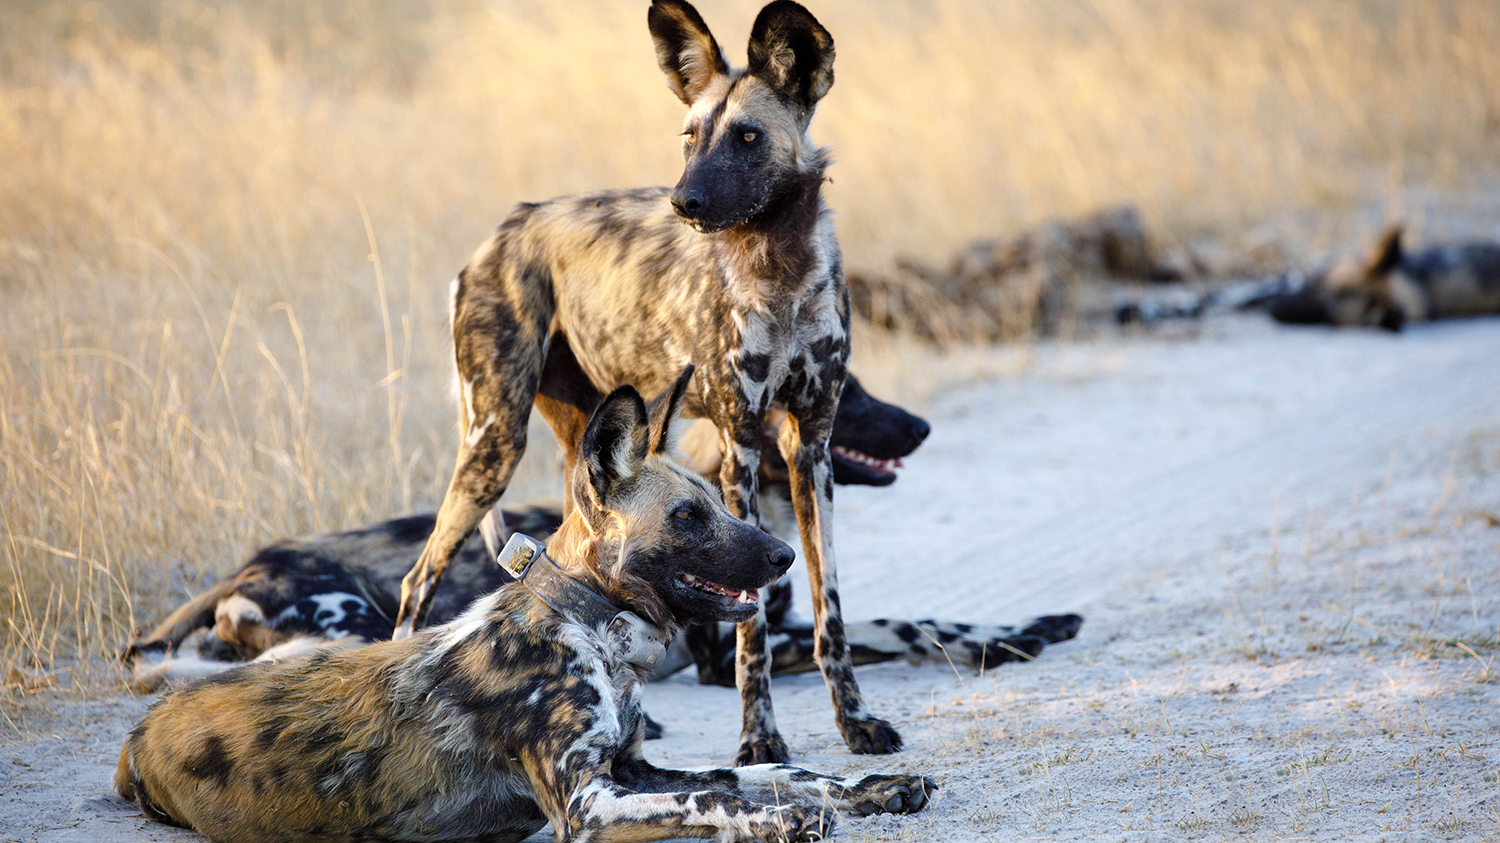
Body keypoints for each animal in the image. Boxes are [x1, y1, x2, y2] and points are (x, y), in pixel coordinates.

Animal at [393, 0, 894, 762]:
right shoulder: (742, 444)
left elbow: (827, 606)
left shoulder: (811, 443)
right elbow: (751, 630)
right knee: (419, 577)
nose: (684, 200)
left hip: (586, 441)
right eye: (689, 137)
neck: (776, 269)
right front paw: (759, 738)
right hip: (493, 444)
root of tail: (500, 233)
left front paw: (856, 721)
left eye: (747, 137)